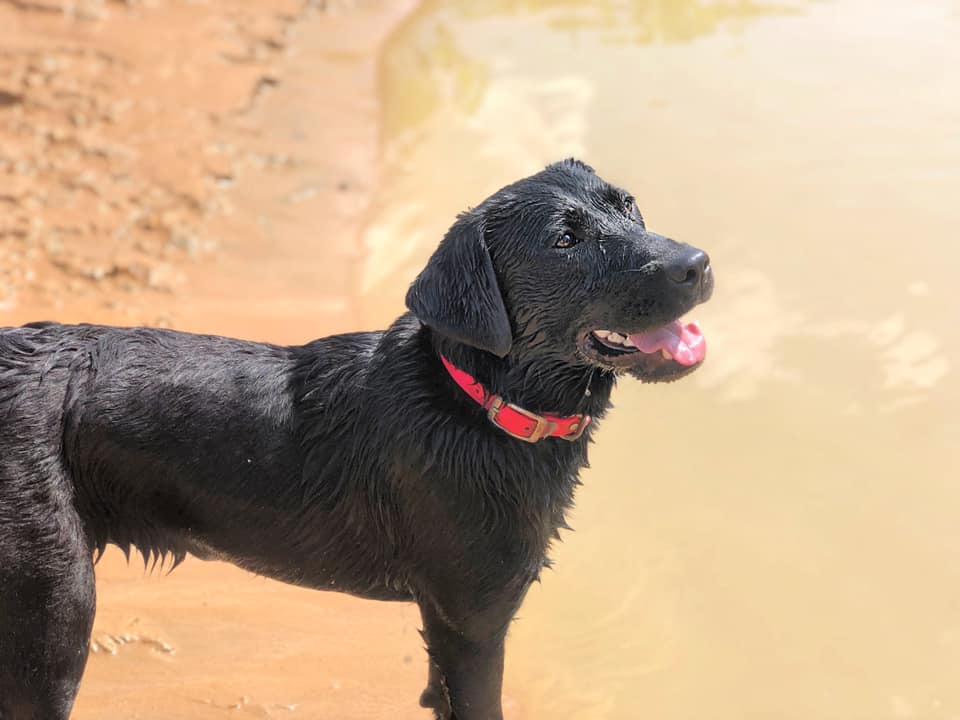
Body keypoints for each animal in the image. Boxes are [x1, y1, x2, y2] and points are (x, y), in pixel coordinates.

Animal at [0, 160, 712, 716]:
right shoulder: (473, 625)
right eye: (564, 241)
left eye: (628, 206)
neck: (475, 403)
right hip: (55, 613)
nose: (699, 264)